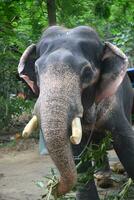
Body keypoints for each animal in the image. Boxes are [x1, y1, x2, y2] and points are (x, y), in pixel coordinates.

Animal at [17, 25, 134, 199]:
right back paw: (102, 177)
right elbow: (77, 153)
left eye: (87, 72)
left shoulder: (113, 102)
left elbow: (126, 142)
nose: (52, 185)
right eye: (36, 71)